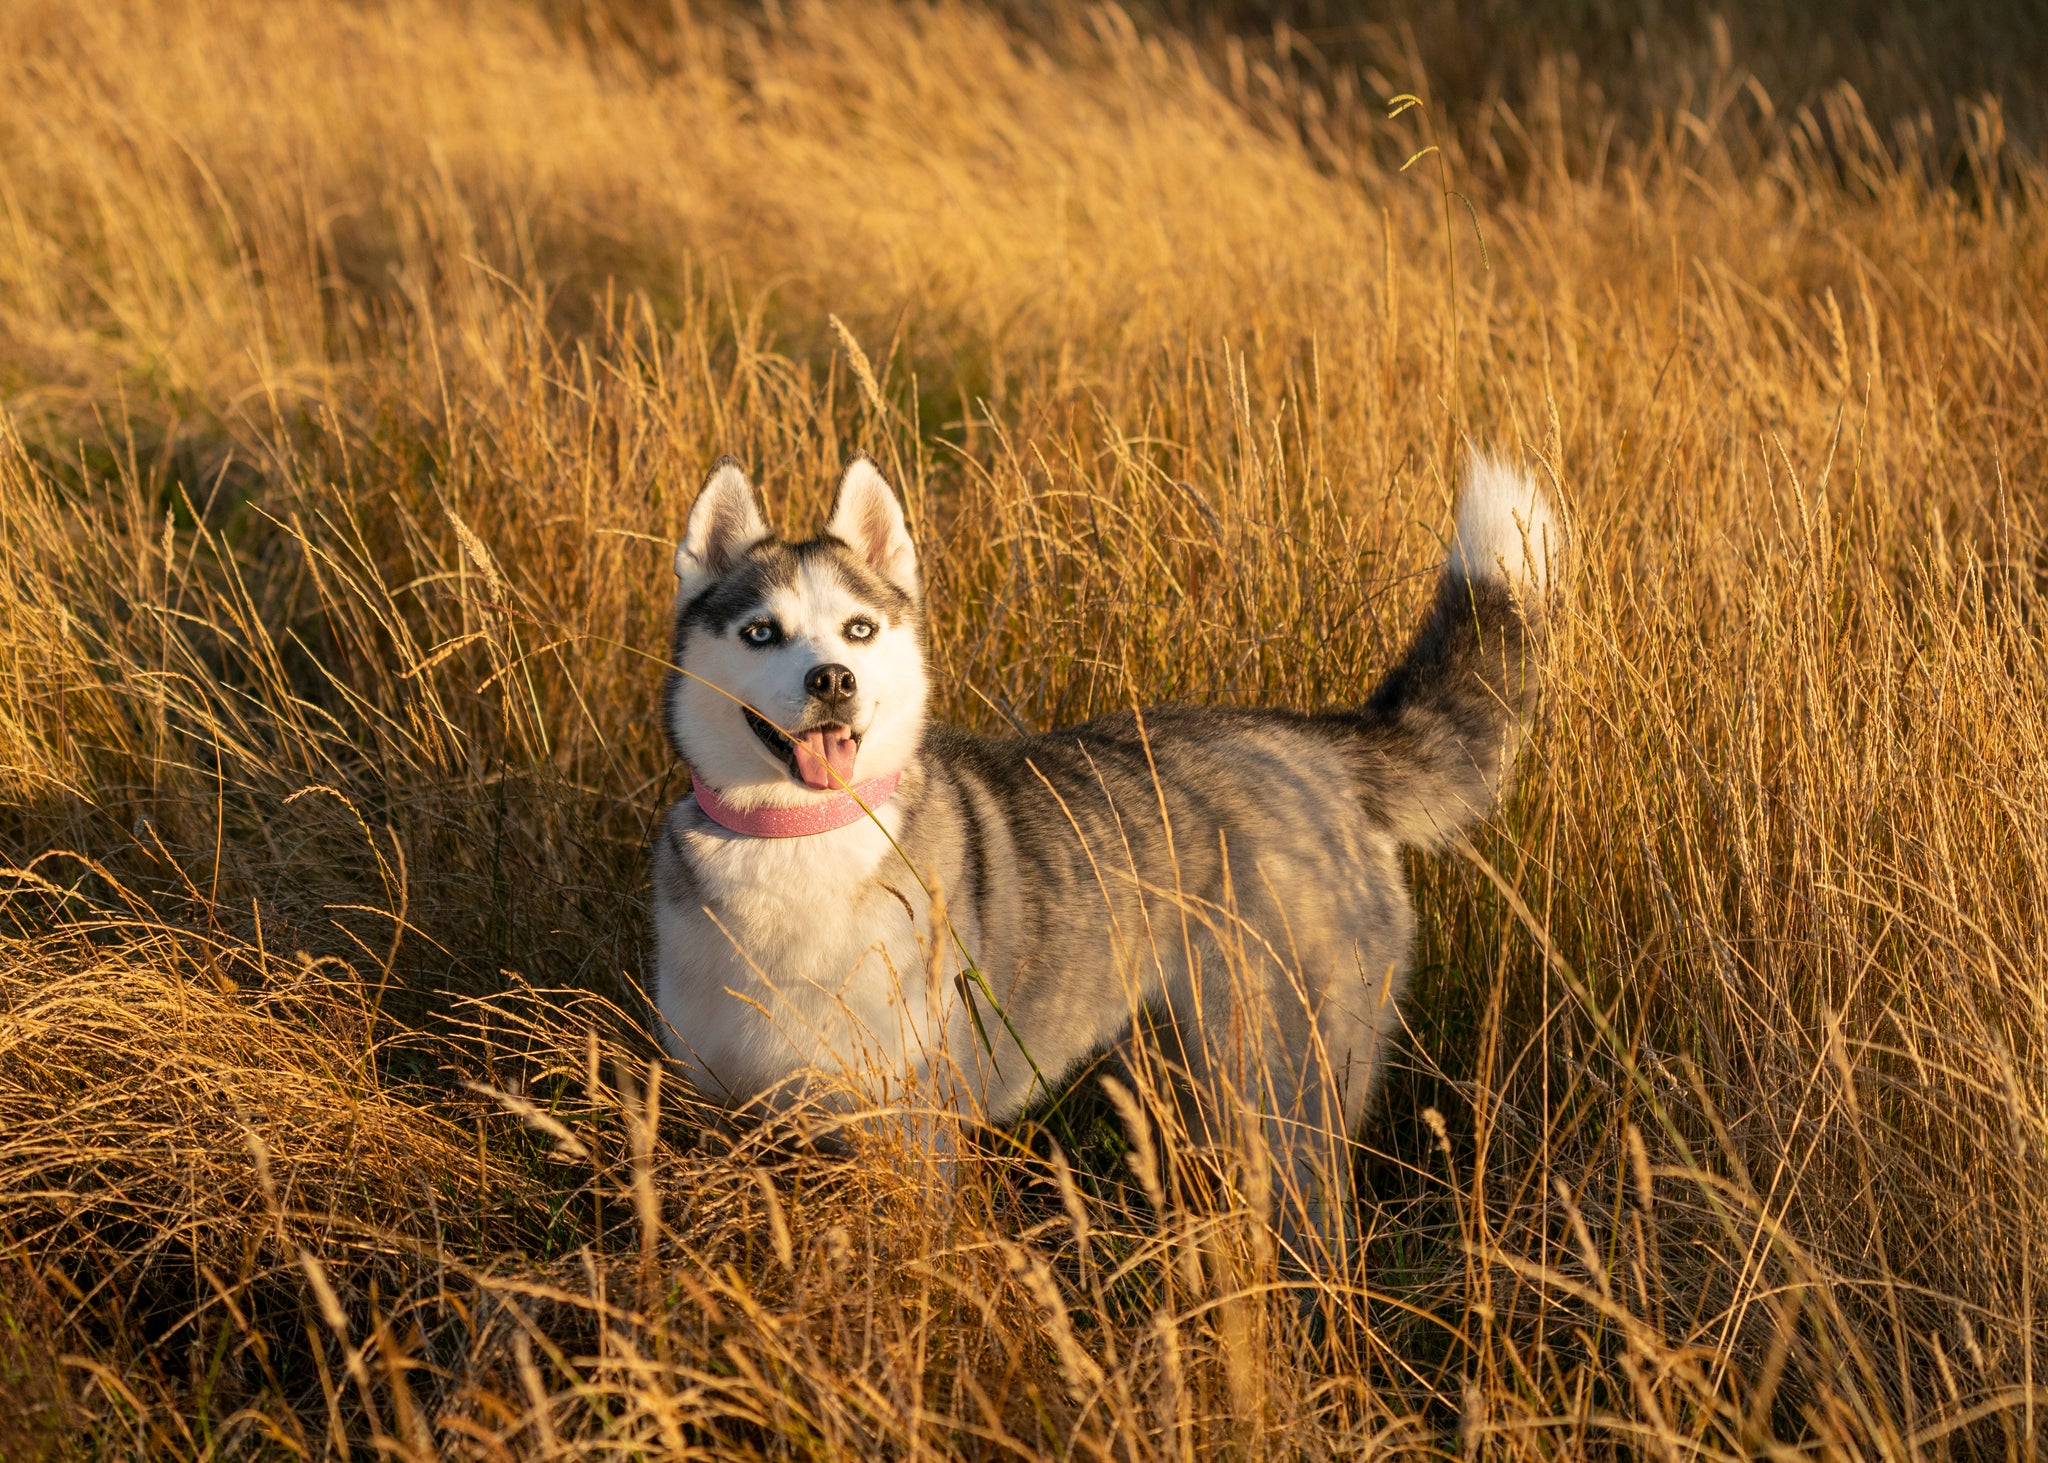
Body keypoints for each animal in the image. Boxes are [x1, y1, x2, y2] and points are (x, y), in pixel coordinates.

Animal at [647, 450, 1556, 1237]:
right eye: (761, 632)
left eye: (860, 629)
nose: (832, 680)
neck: (802, 840)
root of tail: (1321, 745)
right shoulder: (737, 1116)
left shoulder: (918, 1129)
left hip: (1283, 1085)